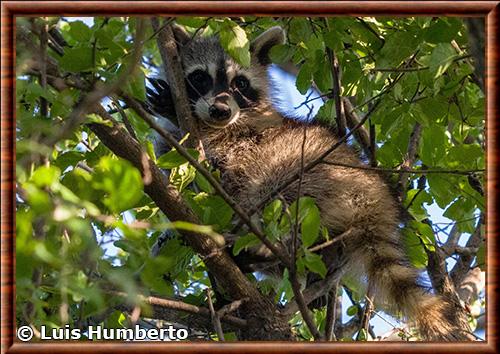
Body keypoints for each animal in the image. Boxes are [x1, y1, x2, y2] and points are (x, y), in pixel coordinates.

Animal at [147, 24, 472, 340]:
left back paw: (262, 248)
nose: (220, 110)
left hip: (311, 171)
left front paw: (173, 111)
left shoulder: (244, 138)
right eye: (200, 78)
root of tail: (376, 200)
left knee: (271, 192)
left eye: (240, 84)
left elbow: (209, 152)